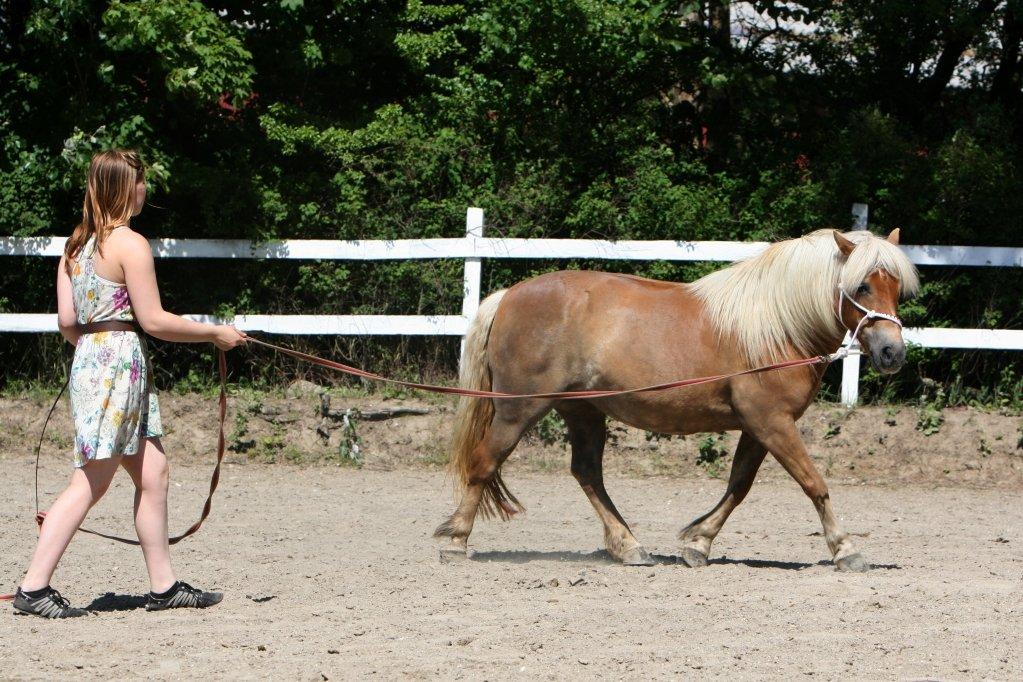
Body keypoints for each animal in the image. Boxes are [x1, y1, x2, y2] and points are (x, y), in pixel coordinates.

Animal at [431, 228, 920, 572]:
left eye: (896, 287)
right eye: (862, 286)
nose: (893, 353)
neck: (776, 326)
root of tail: (508, 296)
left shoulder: (758, 427)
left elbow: (738, 486)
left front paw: (698, 543)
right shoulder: (772, 422)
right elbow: (814, 484)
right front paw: (846, 550)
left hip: (583, 411)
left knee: (587, 474)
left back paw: (629, 546)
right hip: (518, 408)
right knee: (484, 463)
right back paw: (456, 541)